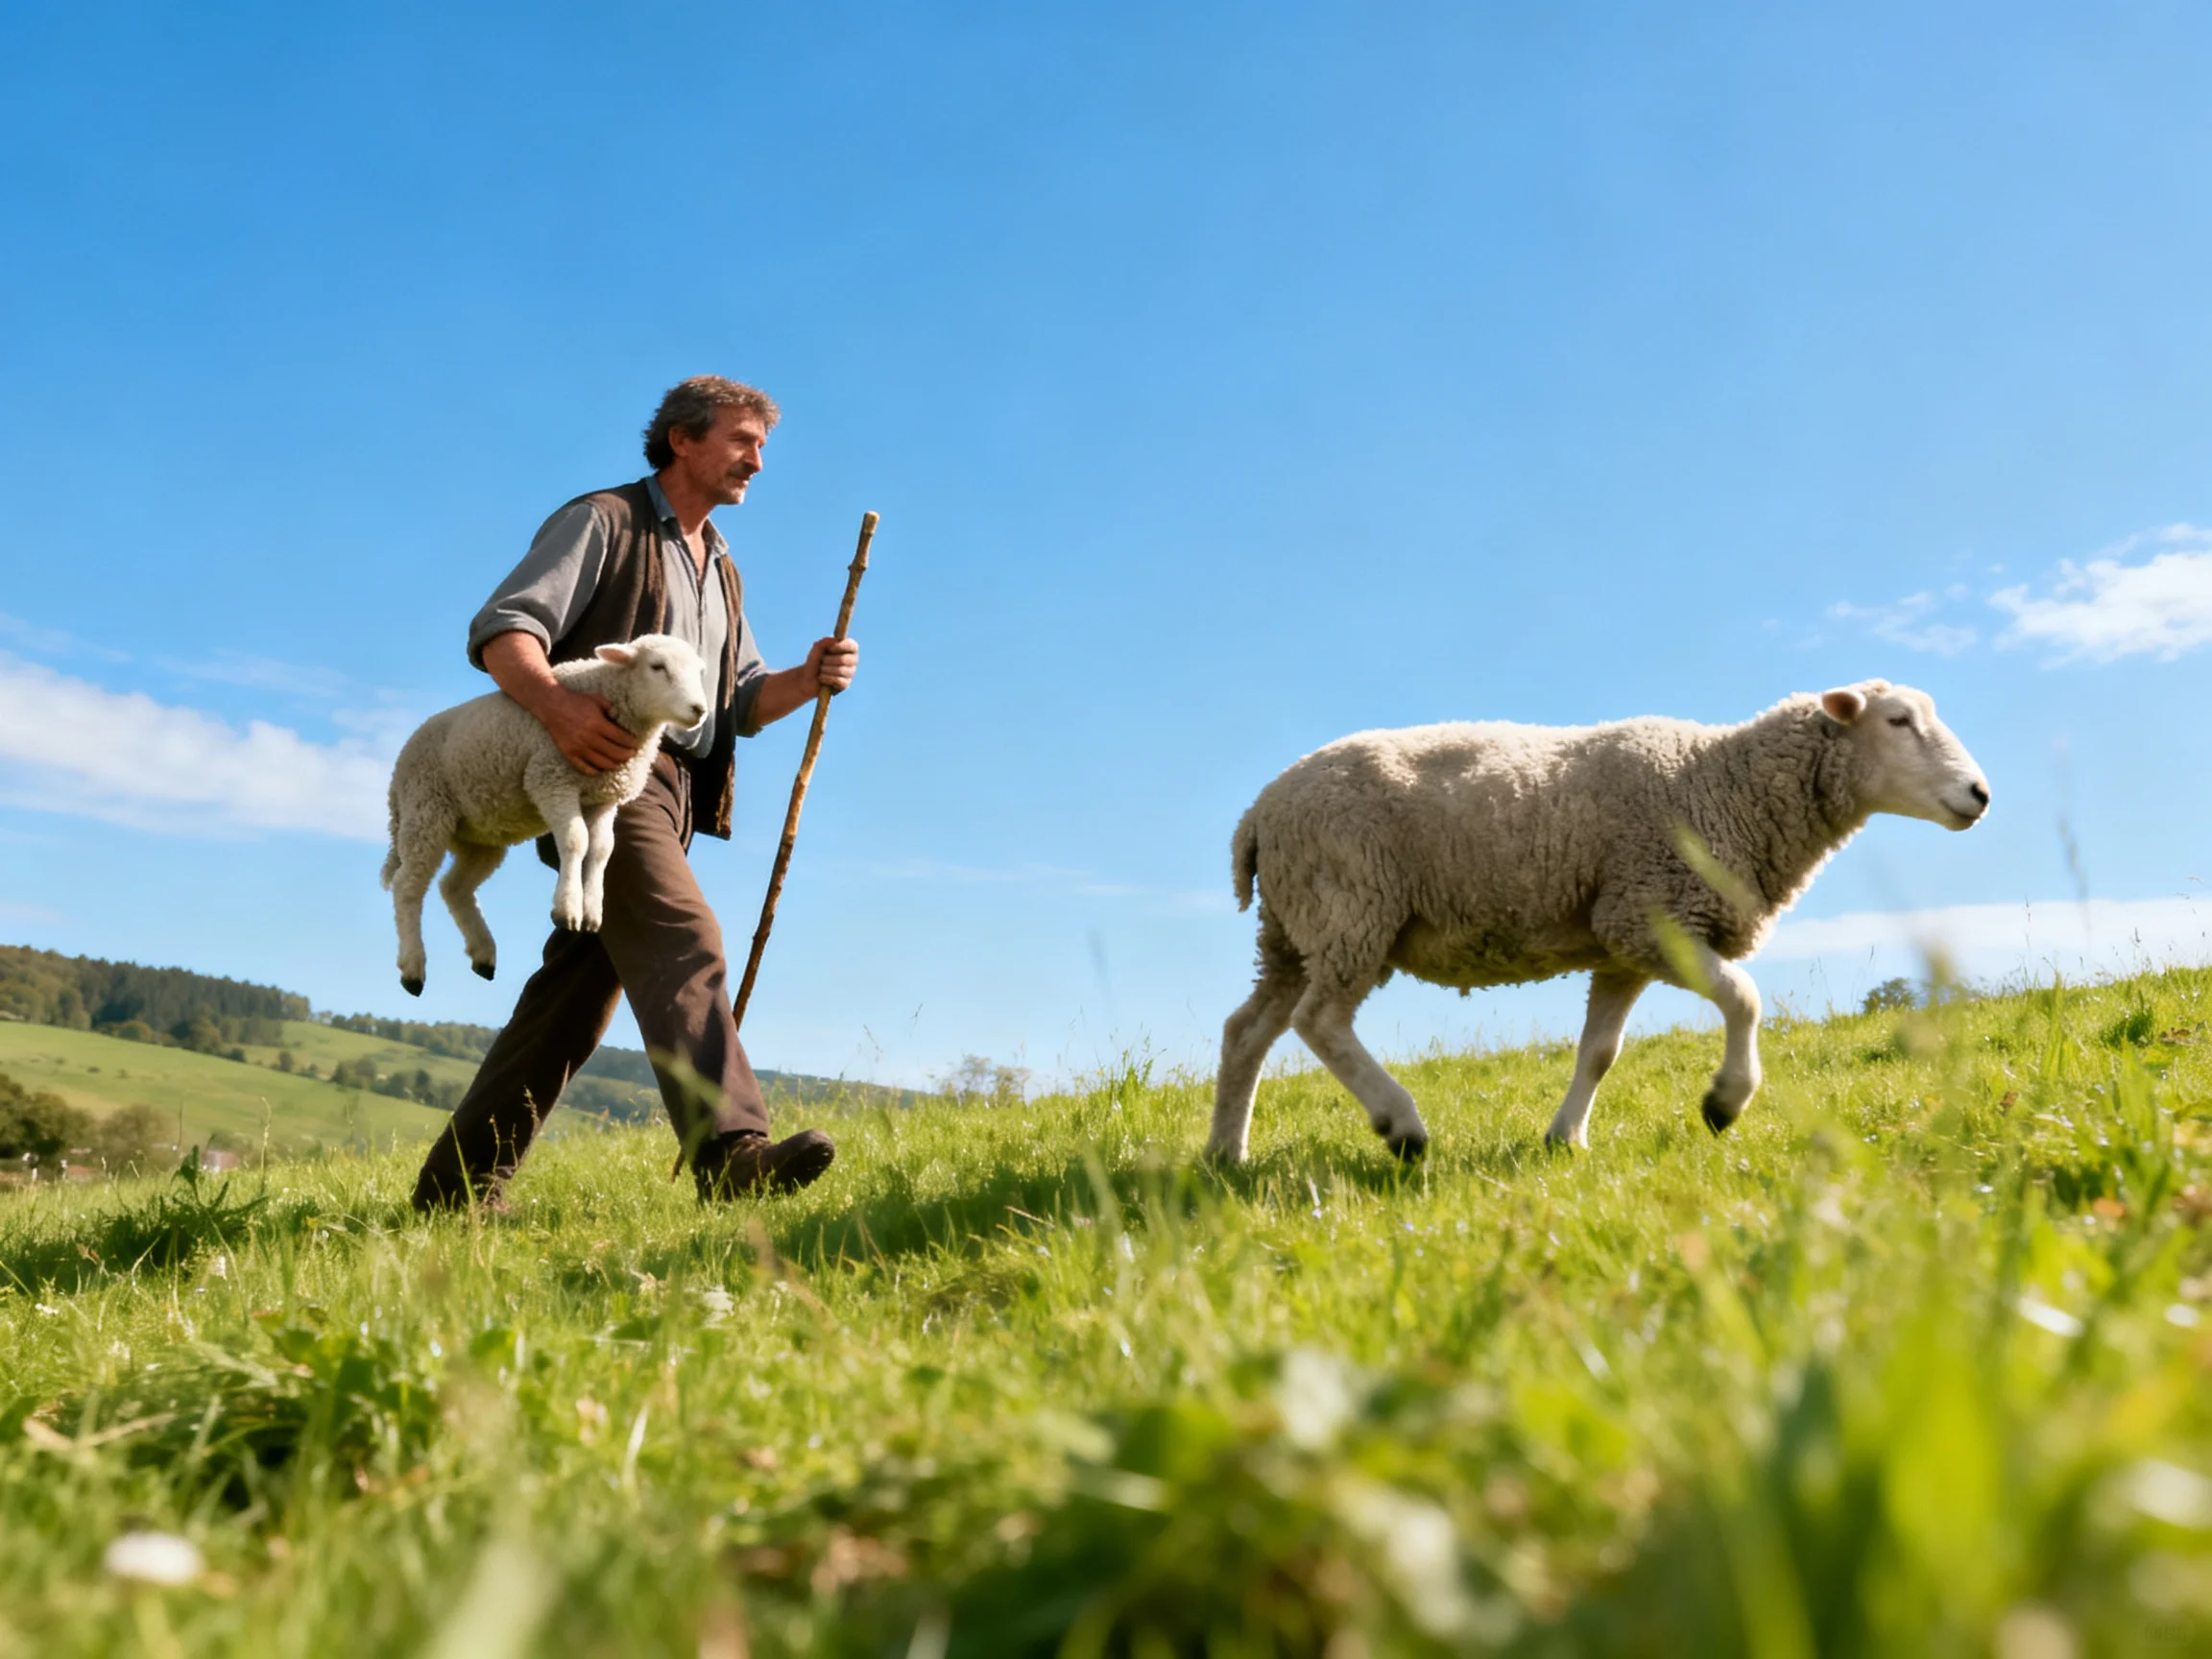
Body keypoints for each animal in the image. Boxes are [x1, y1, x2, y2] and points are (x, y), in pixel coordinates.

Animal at [380, 634, 711, 997]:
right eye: (657, 667)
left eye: (700, 672)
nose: (699, 710)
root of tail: (396, 781)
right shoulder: (551, 777)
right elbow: (576, 840)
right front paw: (568, 908)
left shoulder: (604, 799)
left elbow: (601, 850)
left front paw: (592, 910)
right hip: (425, 809)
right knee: (407, 886)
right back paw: (413, 967)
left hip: (479, 835)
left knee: (453, 887)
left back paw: (482, 952)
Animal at [1207, 680, 1990, 1163]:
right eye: (1897, 721)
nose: (1980, 794)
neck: (1723, 783)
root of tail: (1257, 814)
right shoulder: (1650, 915)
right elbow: (1745, 997)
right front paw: (1724, 1103)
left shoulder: (1621, 945)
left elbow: (1599, 1052)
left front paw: (1566, 1140)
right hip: (1350, 904)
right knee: (1319, 1023)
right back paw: (1400, 1125)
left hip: (1295, 928)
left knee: (1248, 1031)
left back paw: (1226, 1154)